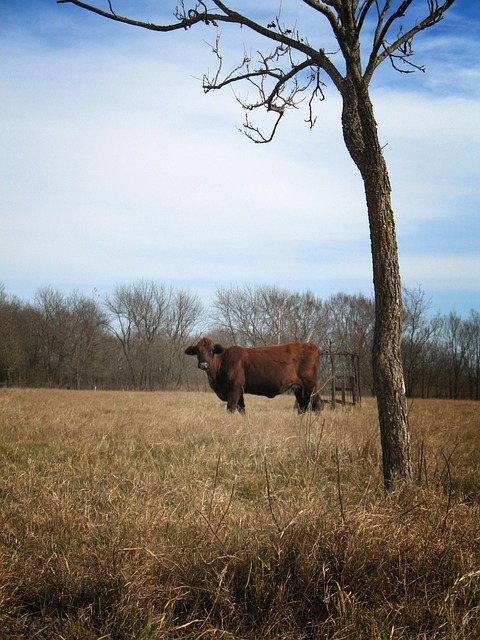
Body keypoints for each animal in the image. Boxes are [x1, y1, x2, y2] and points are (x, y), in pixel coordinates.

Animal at [185, 336, 321, 414]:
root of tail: (310, 345)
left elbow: (231, 409)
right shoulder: (239, 392)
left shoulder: (234, 389)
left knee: (317, 404)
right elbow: (242, 410)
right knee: (302, 406)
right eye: (197, 351)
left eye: (211, 350)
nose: (204, 365)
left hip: (310, 385)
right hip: (299, 388)